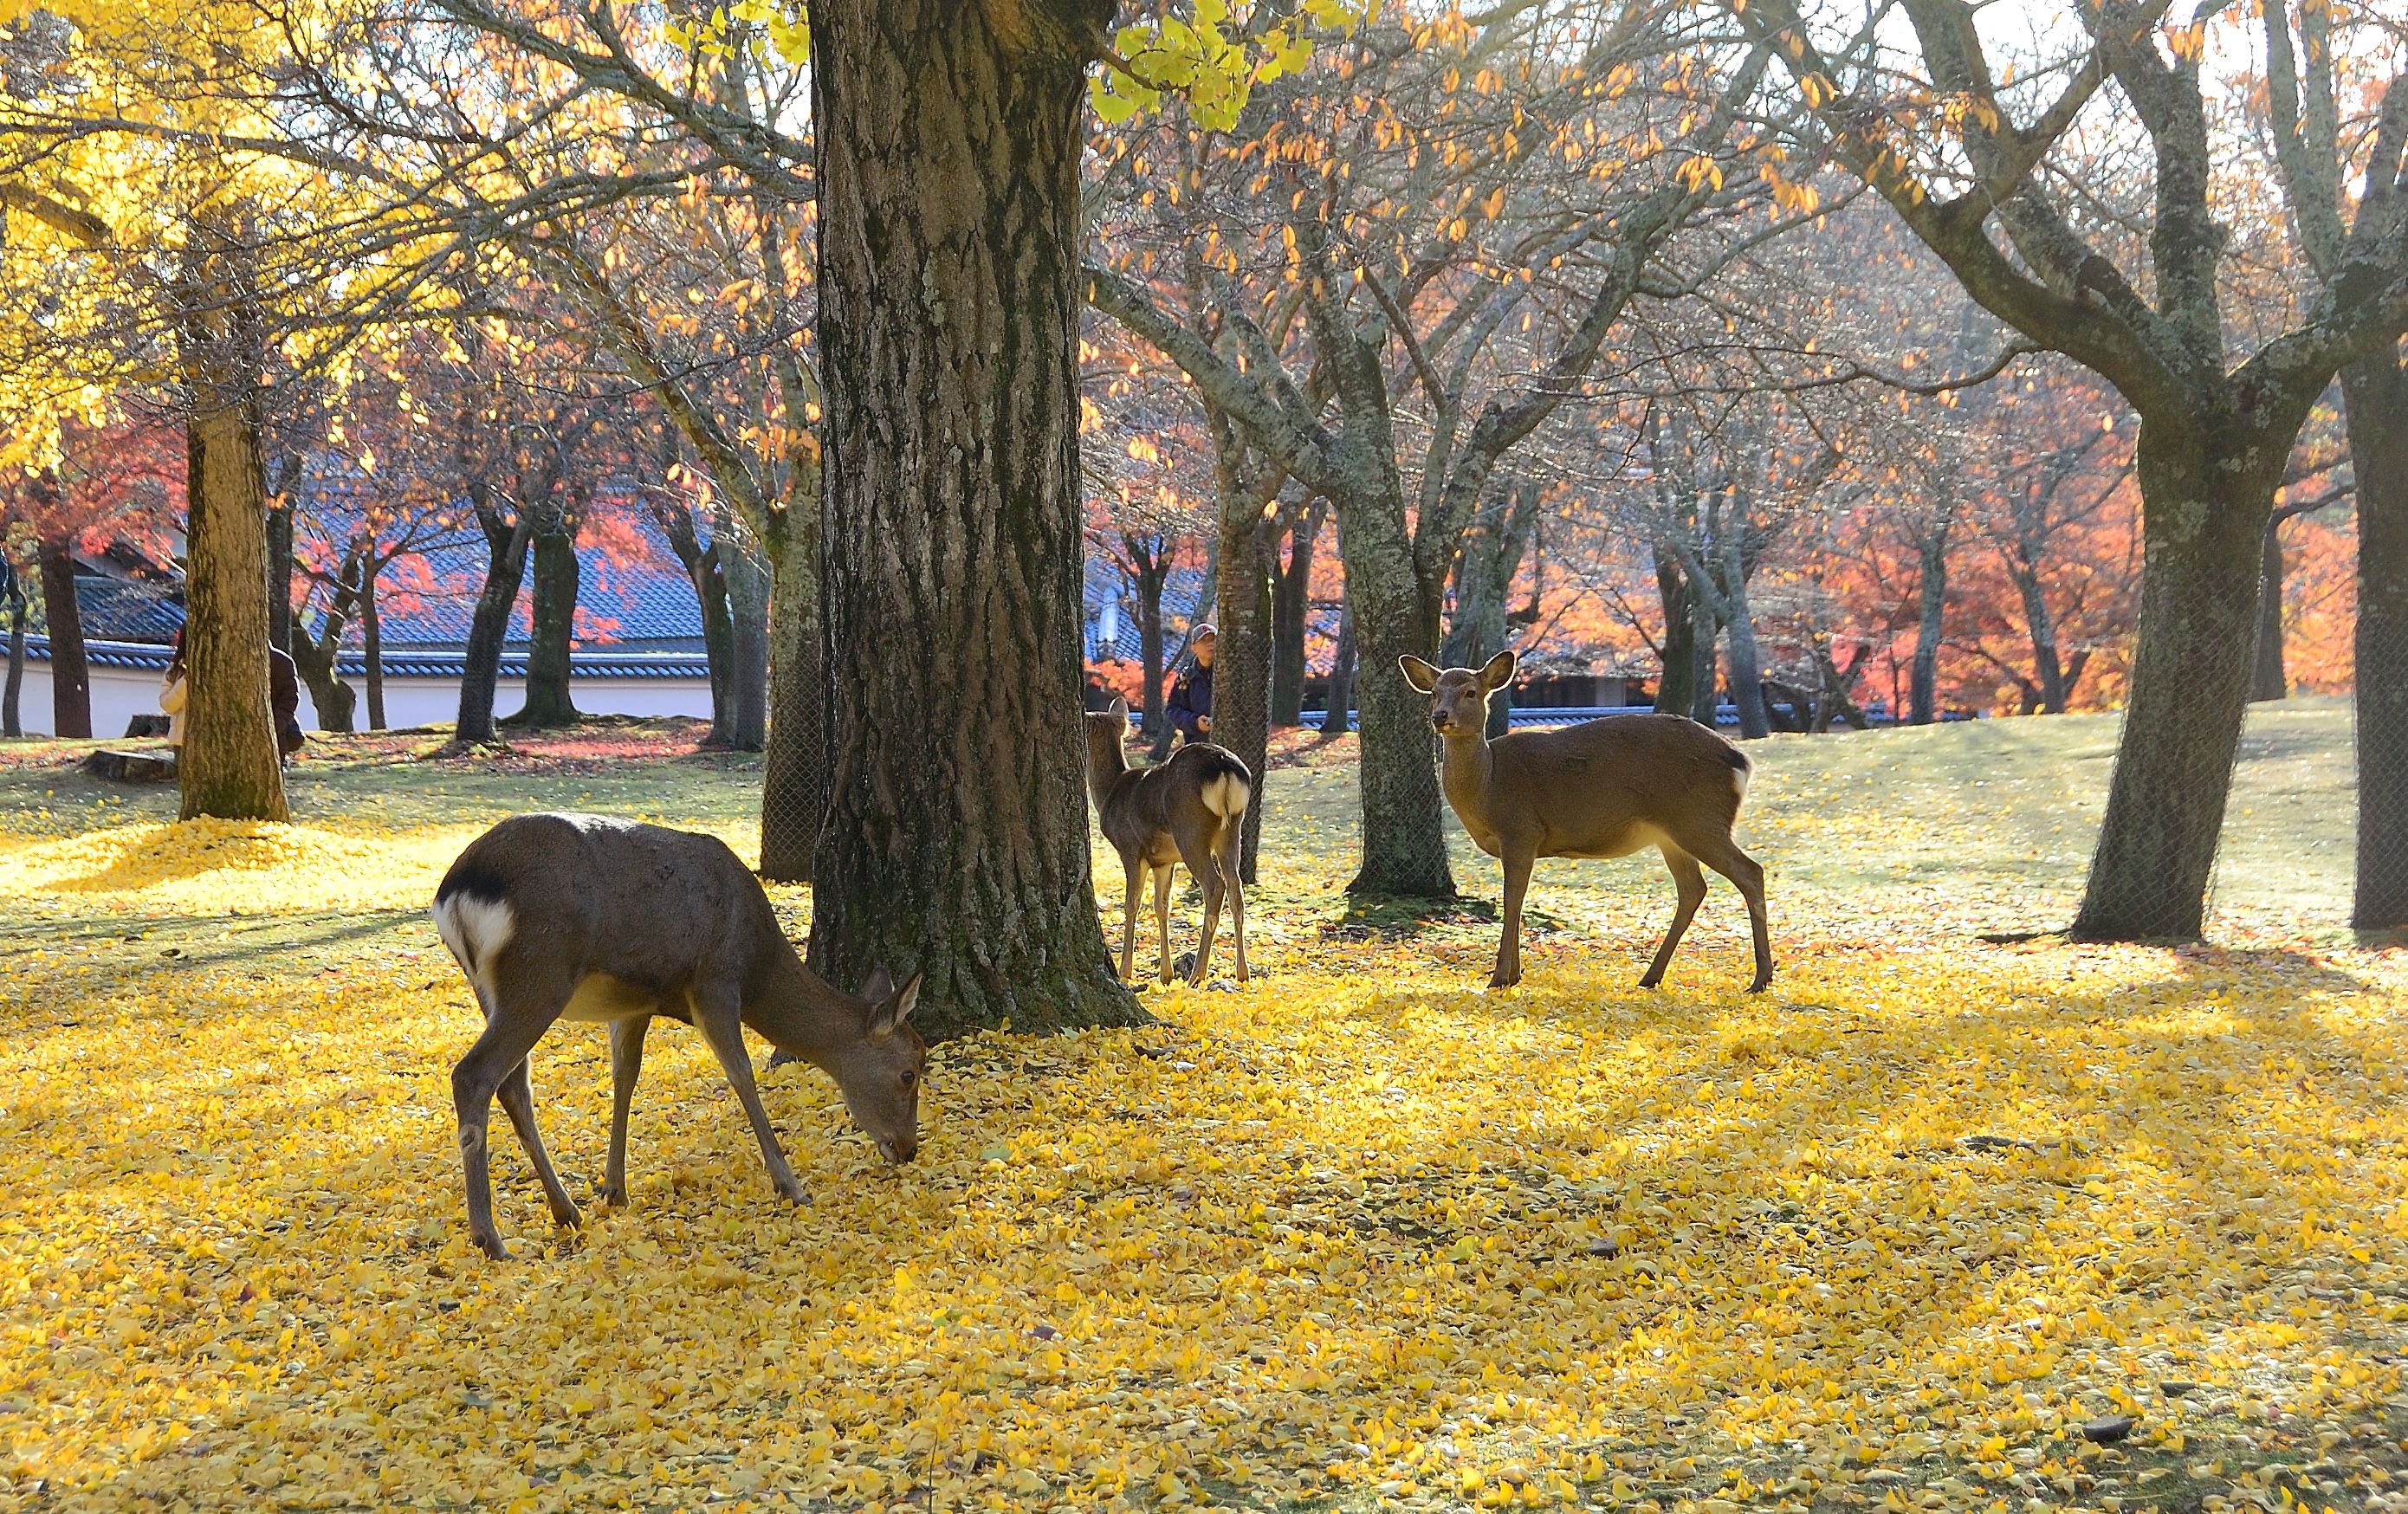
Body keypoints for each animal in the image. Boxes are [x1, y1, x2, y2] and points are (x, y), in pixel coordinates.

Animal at [428, 808, 924, 1261]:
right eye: (909, 1072)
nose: (907, 1148)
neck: (758, 963)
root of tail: (458, 889)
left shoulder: (634, 1004)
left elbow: (625, 1077)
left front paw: (615, 1188)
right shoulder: (715, 979)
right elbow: (741, 1074)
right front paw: (792, 1187)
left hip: (491, 988)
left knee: (513, 1084)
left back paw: (565, 1209)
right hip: (541, 972)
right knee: (473, 1074)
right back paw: (491, 1239)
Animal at [1084, 693, 1252, 987]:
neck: (1109, 794)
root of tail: (1224, 767)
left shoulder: (1129, 848)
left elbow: (1132, 904)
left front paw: (1125, 970)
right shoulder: (1164, 861)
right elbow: (1162, 906)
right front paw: (1165, 973)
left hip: (1190, 831)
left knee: (1215, 886)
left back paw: (1197, 974)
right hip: (1231, 829)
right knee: (1236, 888)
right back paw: (1242, 973)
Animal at [1396, 644, 1772, 991]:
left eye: (1471, 692)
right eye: (1434, 692)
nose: (1440, 716)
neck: (1489, 786)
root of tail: (1741, 761)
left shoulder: (1522, 830)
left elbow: (1512, 899)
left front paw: (1500, 977)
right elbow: (1518, 900)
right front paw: (1514, 974)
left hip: (1699, 819)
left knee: (1750, 872)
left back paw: (1761, 978)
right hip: (1671, 832)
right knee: (1693, 888)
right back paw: (1650, 976)